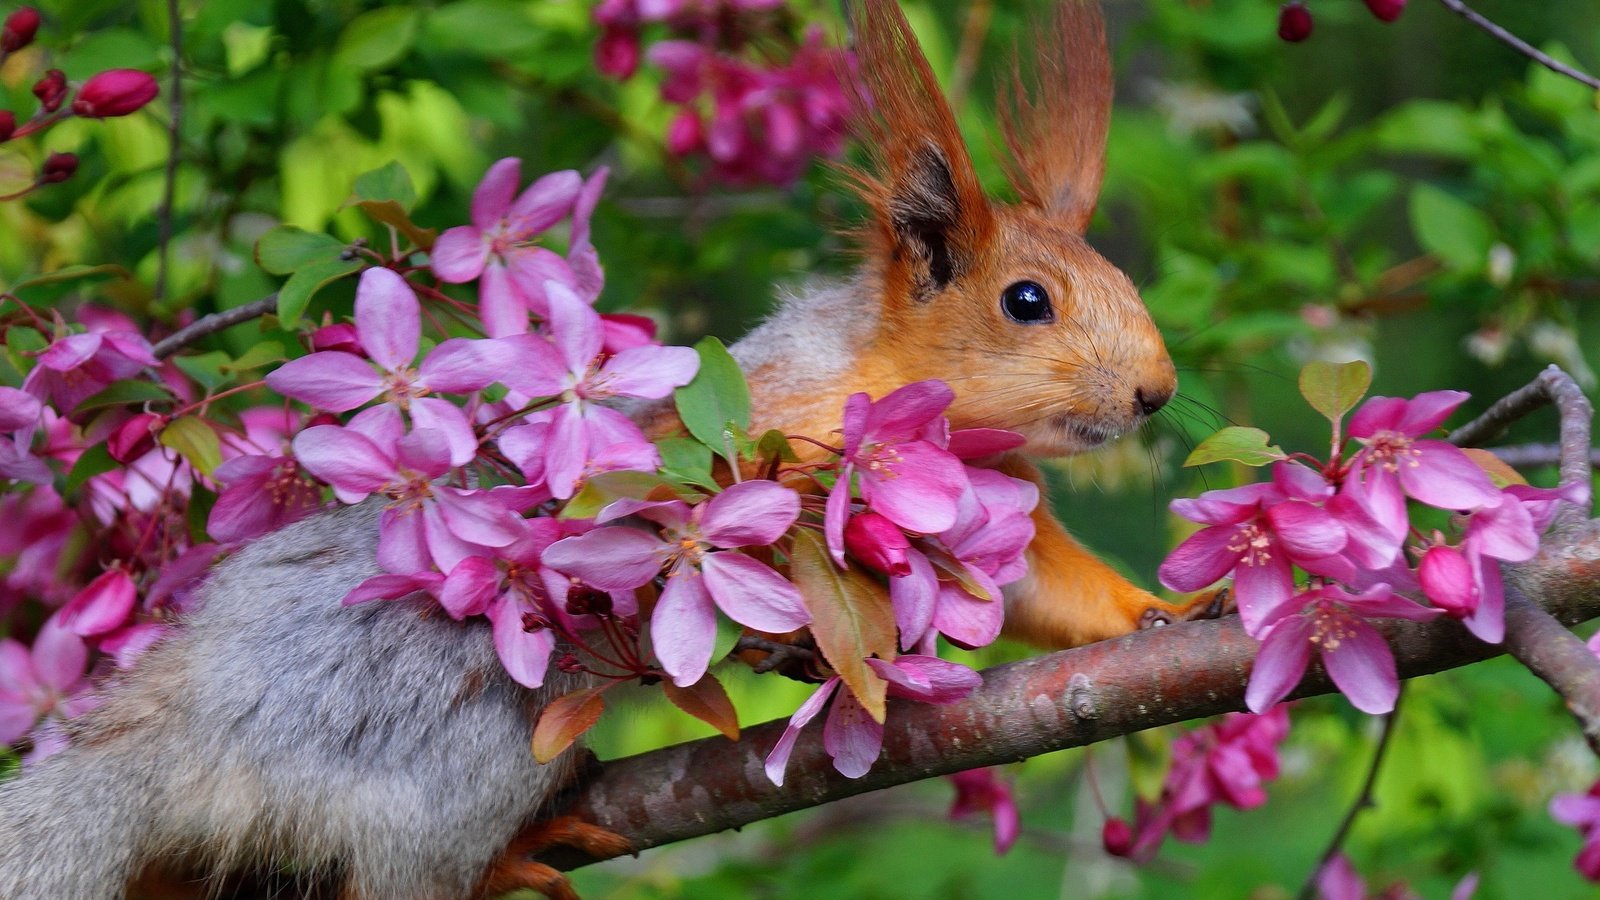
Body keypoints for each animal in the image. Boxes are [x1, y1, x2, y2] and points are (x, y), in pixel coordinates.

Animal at [0, 0, 1209, 890]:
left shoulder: (1005, 506)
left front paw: (1167, 610)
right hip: (453, 737)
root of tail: (186, 737)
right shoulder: (778, 442)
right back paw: (516, 856)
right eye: (1025, 301)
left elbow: (1054, 595)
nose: (1155, 393)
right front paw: (827, 654)